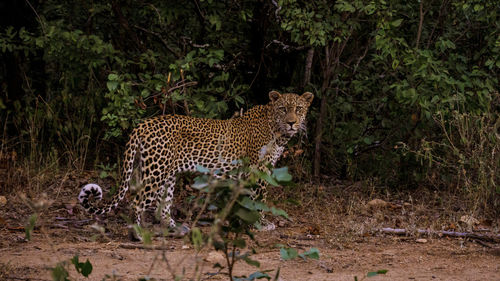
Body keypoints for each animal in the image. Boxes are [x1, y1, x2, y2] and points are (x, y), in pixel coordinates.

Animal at [78, 91, 312, 229]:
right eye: (283, 109)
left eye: (299, 109)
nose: (292, 123)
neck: (277, 130)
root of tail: (143, 123)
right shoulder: (258, 170)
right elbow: (259, 200)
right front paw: (261, 223)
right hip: (156, 170)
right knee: (137, 201)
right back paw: (137, 233)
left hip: (168, 173)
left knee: (162, 204)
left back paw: (174, 227)